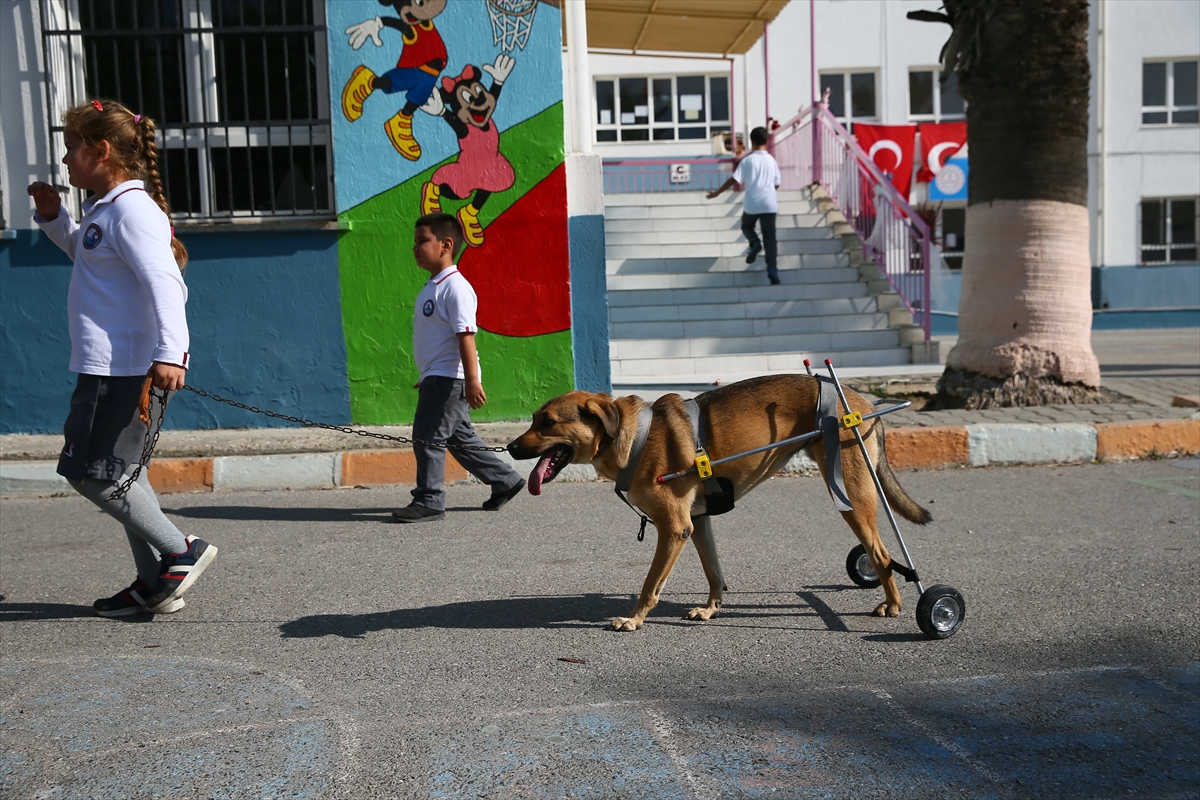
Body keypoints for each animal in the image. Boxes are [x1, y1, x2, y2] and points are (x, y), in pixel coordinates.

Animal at [504, 376, 926, 633]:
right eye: (534, 419)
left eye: (548, 422)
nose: (509, 447)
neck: (631, 436)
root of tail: (858, 399)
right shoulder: (698, 523)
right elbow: (714, 573)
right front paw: (710, 609)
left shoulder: (674, 528)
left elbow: (651, 583)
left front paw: (635, 619)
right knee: (878, 554)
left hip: (851, 496)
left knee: (883, 554)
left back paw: (896, 604)